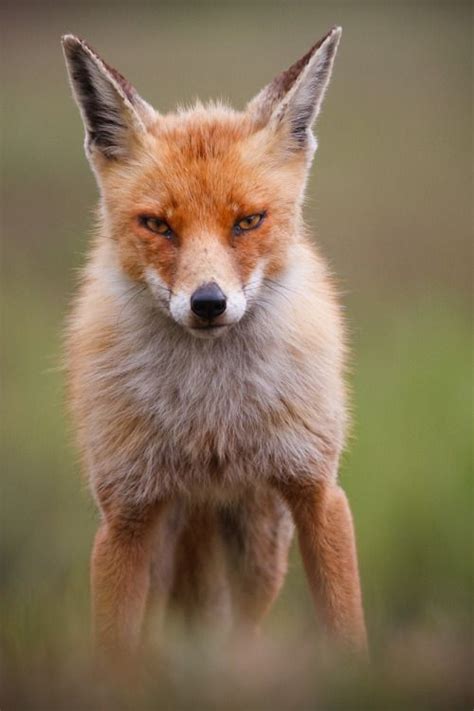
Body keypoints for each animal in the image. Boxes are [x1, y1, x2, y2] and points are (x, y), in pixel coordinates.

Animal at [62, 26, 366, 660]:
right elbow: (115, 656)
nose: (208, 303)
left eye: (248, 221)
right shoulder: (124, 515)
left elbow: (347, 627)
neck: (211, 417)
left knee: (241, 633)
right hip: (168, 545)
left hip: (259, 549)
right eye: (157, 225)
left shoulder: (318, 490)